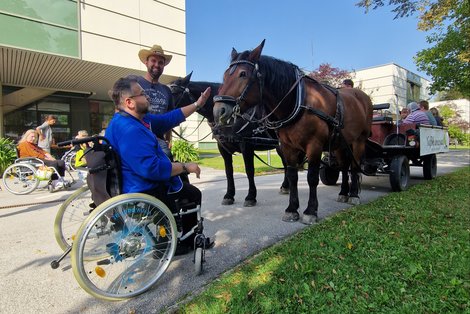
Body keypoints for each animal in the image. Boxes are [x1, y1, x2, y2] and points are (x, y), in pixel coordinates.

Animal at [215, 40, 372, 224]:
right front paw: (291, 209)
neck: (299, 100)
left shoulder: (314, 145)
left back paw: (353, 195)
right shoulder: (288, 146)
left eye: (242, 74)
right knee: (344, 166)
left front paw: (310, 210)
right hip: (340, 143)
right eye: (225, 76)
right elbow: (292, 175)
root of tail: (362, 97)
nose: (218, 110)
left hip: (359, 141)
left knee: (354, 166)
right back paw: (343, 193)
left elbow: (312, 177)